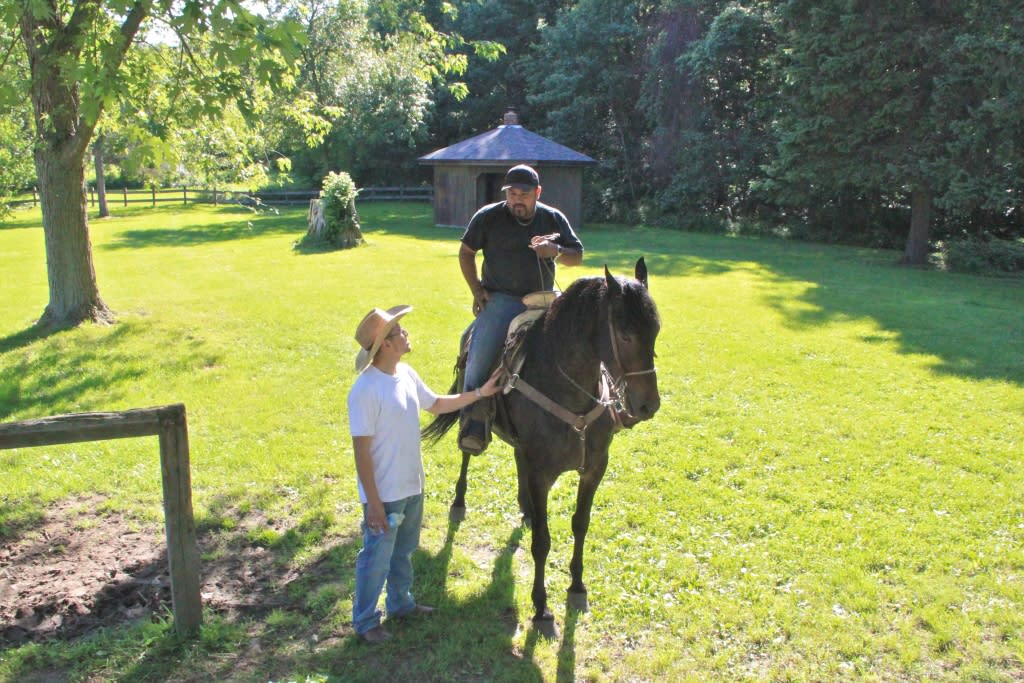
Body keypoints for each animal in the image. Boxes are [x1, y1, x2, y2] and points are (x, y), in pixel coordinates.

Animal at [419, 258, 659, 634]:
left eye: (656, 331)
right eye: (624, 334)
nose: (649, 405)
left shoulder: (593, 468)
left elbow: (580, 523)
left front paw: (577, 588)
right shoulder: (542, 472)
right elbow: (543, 542)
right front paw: (542, 608)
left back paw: (527, 509)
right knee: (466, 455)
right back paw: (459, 502)